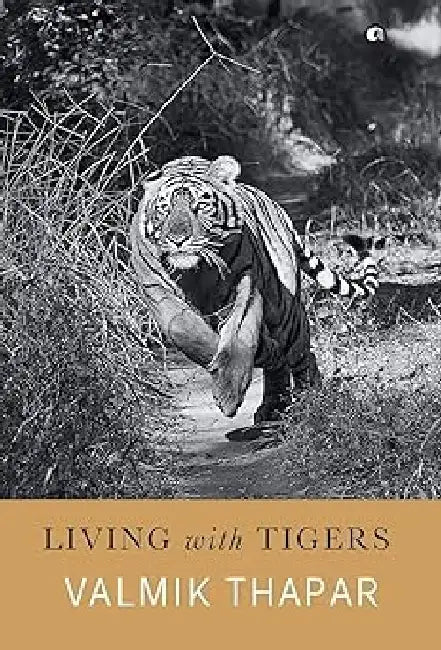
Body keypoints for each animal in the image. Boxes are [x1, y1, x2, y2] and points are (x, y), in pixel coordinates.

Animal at [131, 155, 378, 424]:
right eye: (164, 208)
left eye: (200, 206)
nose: (178, 240)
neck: (195, 273)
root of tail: (280, 211)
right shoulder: (156, 289)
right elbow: (184, 328)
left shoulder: (245, 284)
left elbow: (240, 333)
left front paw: (228, 392)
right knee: (279, 362)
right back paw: (274, 399)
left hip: (284, 312)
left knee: (301, 354)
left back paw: (309, 399)